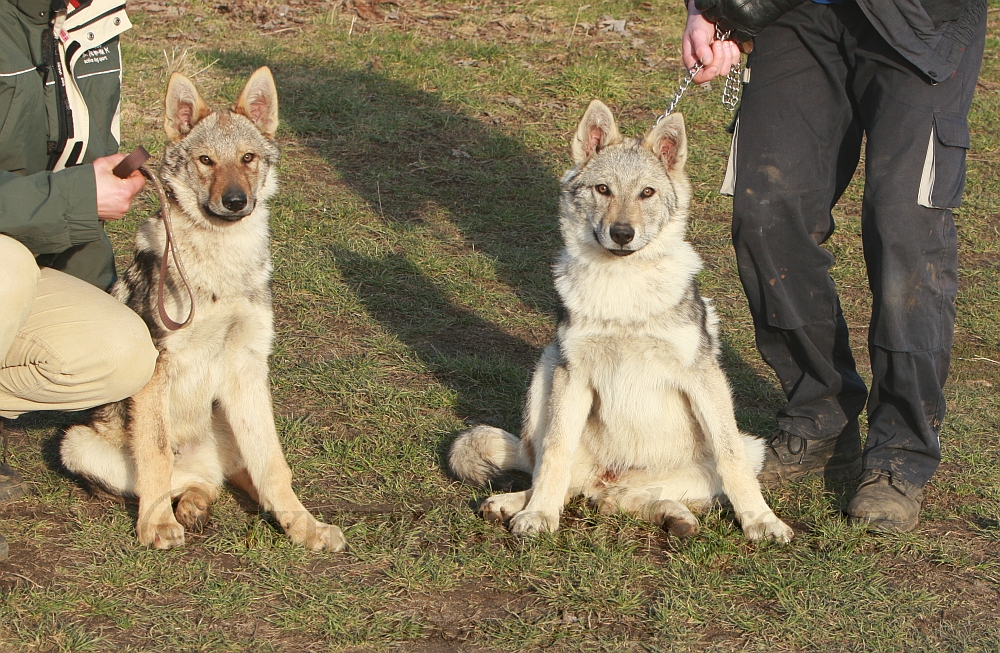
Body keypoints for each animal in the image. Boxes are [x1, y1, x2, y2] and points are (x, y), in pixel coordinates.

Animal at [62, 69, 346, 552]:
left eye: (247, 158)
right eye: (206, 161)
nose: (235, 201)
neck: (220, 267)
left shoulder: (248, 363)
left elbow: (274, 466)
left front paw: (303, 527)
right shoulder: (157, 365)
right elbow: (156, 456)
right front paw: (155, 526)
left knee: (237, 476)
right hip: (76, 445)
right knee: (190, 480)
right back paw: (186, 507)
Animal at [450, 100, 792, 540]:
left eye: (646, 192)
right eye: (603, 189)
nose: (622, 233)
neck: (623, 288)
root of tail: (608, 476)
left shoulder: (704, 378)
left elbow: (731, 462)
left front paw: (760, 520)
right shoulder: (573, 375)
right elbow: (555, 455)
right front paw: (538, 514)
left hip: (749, 447)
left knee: (620, 499)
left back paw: (674, 516)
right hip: (547, 365)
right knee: (564, 480)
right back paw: (513, 504)